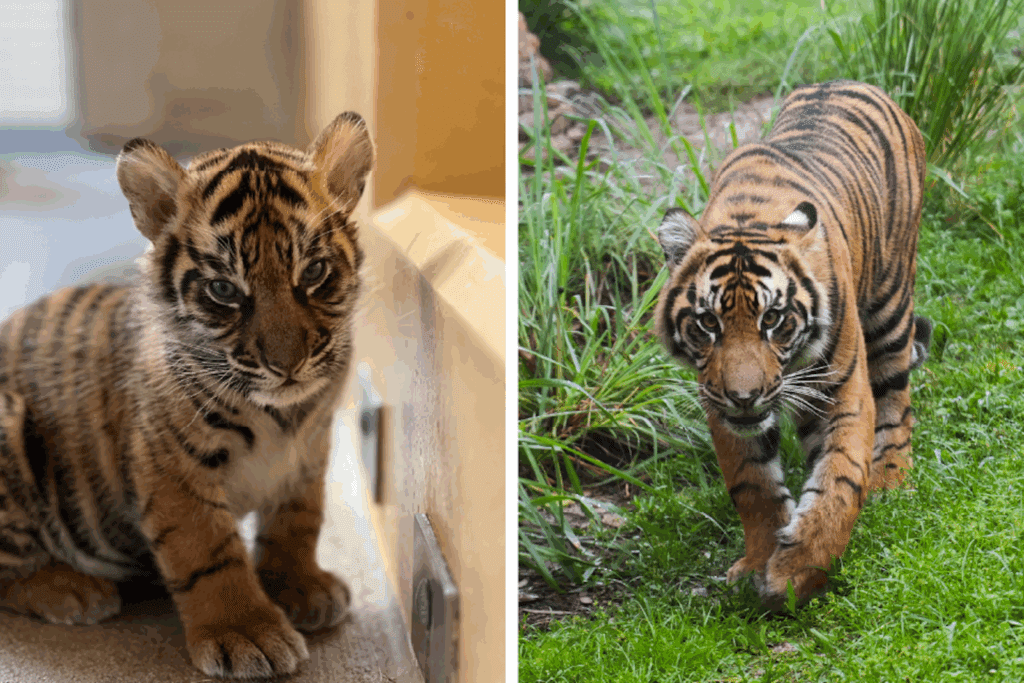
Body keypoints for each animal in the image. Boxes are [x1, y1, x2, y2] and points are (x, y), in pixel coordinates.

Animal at [0, 112, 373, 678]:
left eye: (313, 272)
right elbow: (209, 552)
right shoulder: (172, 467)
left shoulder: (309, 451)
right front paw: (247, 633)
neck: (283, 415)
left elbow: (299, 519)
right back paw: (73, 591)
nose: (286, 366)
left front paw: (301, 586)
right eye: (224, 290)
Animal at [654, 80, 932, 609]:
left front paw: (798, 571)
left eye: (773, 319)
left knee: (896, 402)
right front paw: (759, 561)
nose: (744, 396)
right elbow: (753, 486)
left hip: (890, 308)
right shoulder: (719, 405)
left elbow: (840, 480)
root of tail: (852, 82)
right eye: (707, 323)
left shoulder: (840, 391)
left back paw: (892, 479)